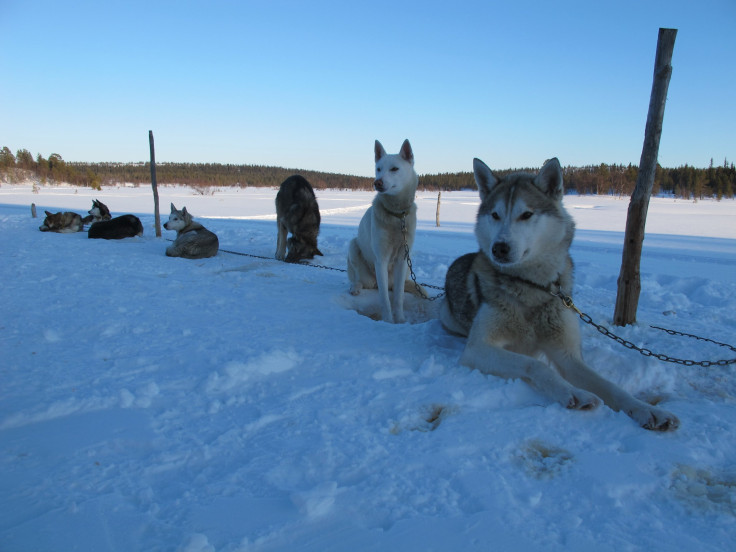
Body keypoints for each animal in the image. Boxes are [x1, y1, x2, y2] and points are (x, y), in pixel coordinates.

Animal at [348, 139, 422, 324]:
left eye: (394, 169)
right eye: (378, 169)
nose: (377, 182)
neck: (397, 216)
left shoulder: (403, 259)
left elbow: (398, 297)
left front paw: (400, 320)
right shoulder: (380, 259)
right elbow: (384, 299)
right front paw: (388, 321)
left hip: (402, 271)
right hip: (353, 247)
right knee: (358, 279)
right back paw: (355, 287)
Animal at [440, 156, 680, 432]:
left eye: (526, 214)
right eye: (495, 215)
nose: (498, 248)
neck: (531, 287)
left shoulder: (568, 355)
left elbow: (611, 387)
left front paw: (648, 410)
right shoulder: (477, 348)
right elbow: (535, 364)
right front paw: (574, 393)